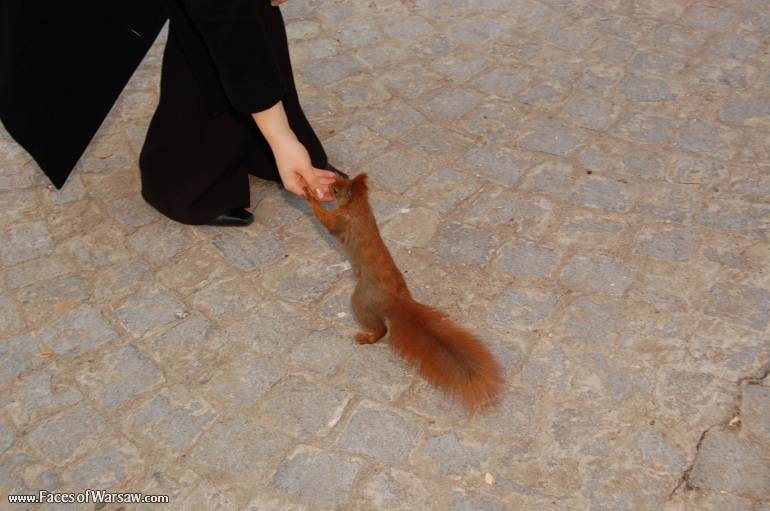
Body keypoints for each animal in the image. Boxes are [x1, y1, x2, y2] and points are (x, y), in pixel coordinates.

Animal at [304, 173, 503, 412]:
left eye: (336, 190)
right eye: (339, 180)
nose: (330, 183)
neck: (359, 208)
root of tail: (396, 300)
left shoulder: (340, 221)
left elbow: (325, 219)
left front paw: (308, 194)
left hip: (360, 303)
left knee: (381, 329)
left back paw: (368, 337)